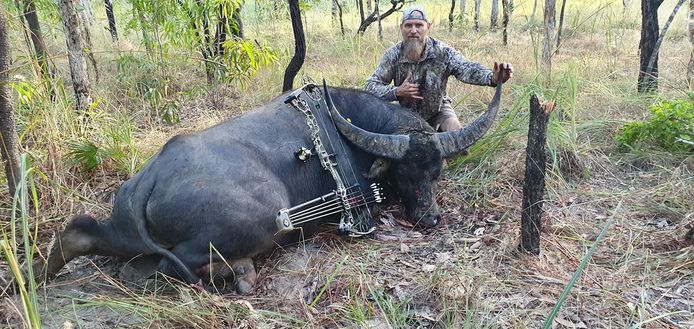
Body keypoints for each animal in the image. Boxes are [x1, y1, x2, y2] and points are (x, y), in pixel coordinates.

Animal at [38, 79, 502, 292]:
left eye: (436, 170)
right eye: (405, 173)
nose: (430, 218)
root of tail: (150, 178)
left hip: (120, 230)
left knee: (84, 232)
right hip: (263, 220)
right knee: (176, 265)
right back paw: (241, 273)